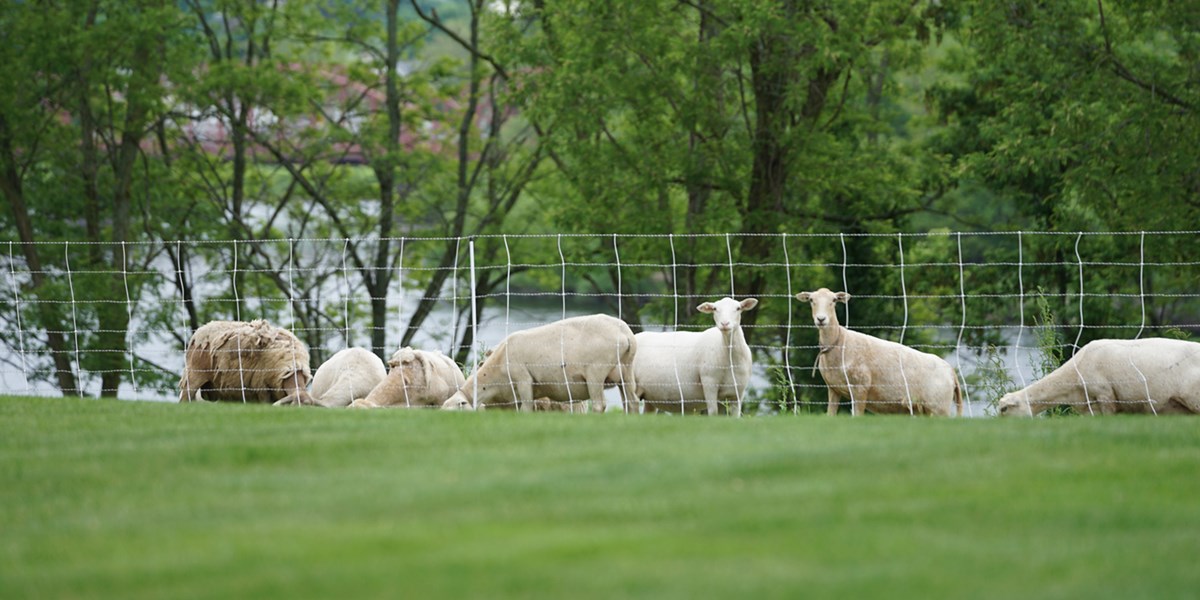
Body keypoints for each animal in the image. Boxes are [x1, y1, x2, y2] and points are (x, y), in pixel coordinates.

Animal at [444, 314, 648, 412]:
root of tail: (625, 334)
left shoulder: (523, 379)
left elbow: (526, 409)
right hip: (625, 371)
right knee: (631, 402)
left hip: (595, 372)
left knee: (600, 405)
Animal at [796, 288, 964, 415]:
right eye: (811, 300)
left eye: (834, 300)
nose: (821, 319)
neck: (840, 342)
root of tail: (951, 372)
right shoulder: (833, 389)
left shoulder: (860, 388)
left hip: (939, 407)